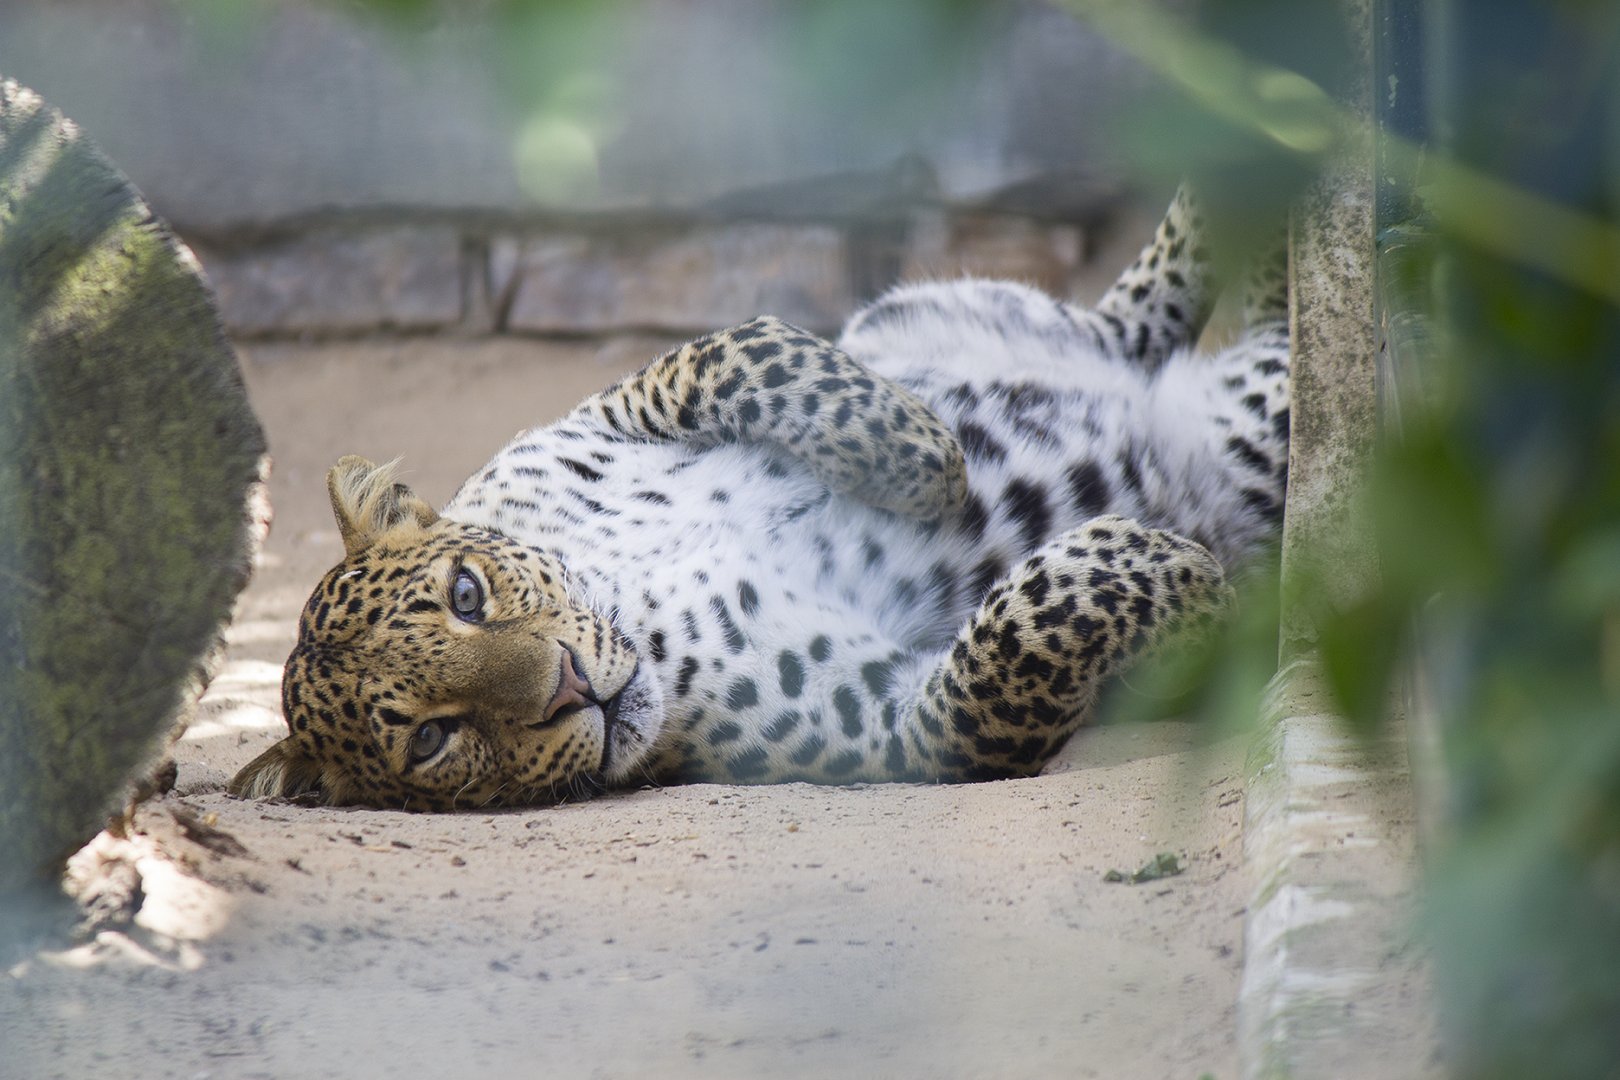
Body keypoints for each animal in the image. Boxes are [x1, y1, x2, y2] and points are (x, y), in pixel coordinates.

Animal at [229, 186, 1291, 811]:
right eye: (432, 740)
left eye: (466, 594)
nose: (571, 687)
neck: (640, 607)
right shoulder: (896, 726)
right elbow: (1011, 652)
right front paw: (1172, 570)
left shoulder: (617, 407)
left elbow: (745, 348)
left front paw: (926, 462)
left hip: (951, 305)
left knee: (1137, 313)